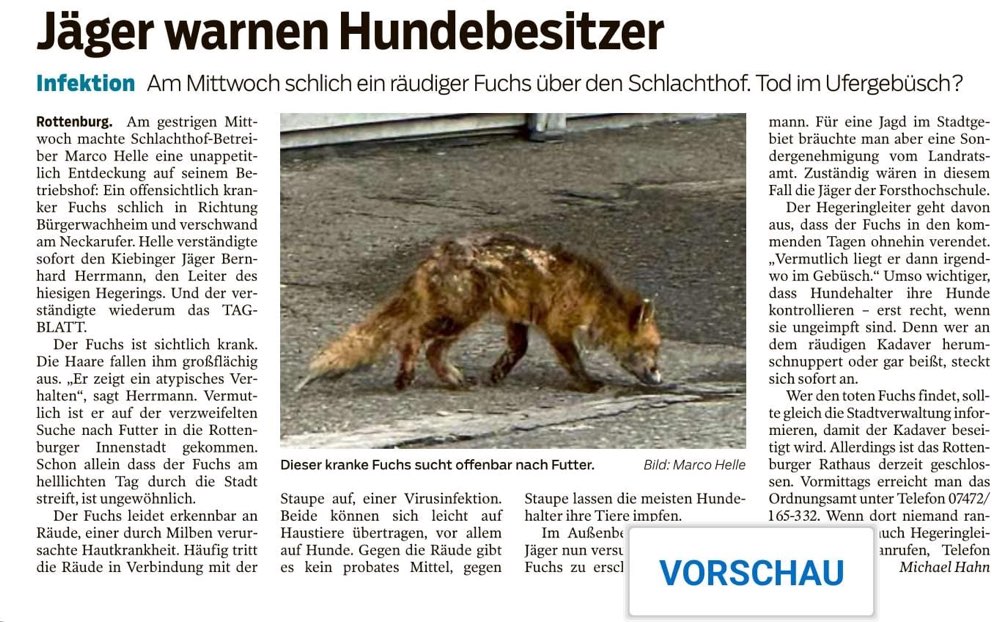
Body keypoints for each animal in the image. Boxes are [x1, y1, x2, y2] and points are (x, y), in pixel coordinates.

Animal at [294, 233, 663, 393]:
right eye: (652, 350)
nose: (660, 378)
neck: (592, 298)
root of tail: (434, 256)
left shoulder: (519, 316)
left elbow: (517, 350)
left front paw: (497, 374)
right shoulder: (557, 326)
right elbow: (573, 361)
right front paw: (588, 384)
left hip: (462, 316)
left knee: (430, 349)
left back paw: (450, 379)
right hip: (461, 316)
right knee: (413, 339)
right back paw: (409, 376)